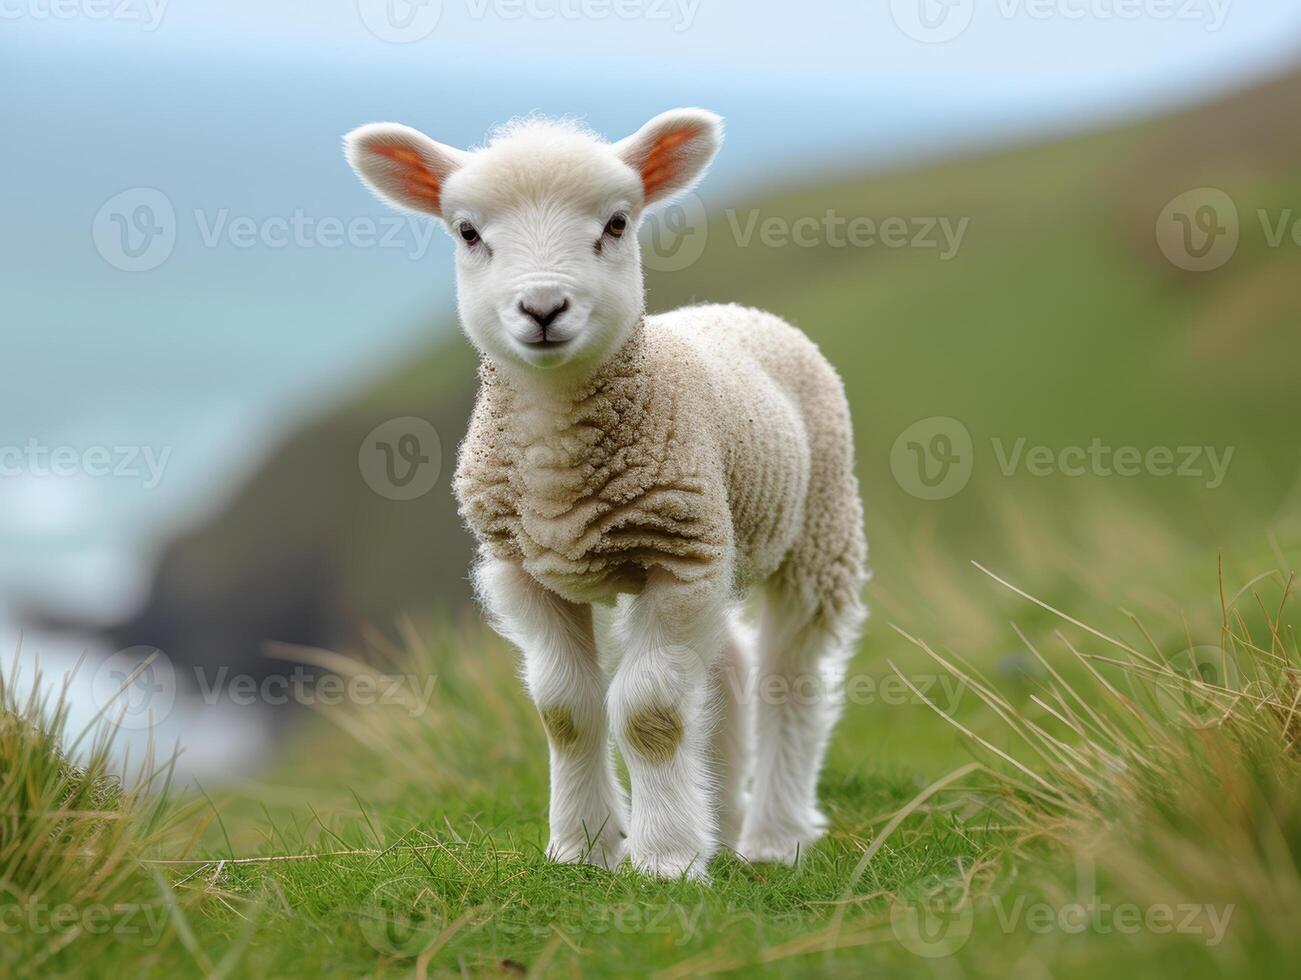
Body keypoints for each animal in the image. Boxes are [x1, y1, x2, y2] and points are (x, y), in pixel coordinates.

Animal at [351, 108, 869, 879]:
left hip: (817, 530)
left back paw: (775, 836)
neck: (558, 469)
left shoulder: (679, 559)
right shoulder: (526, 571)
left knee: (792, 677)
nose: (542, 308)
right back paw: (723, 821)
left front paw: (665, 858)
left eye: (617, 224)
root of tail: (732, 308)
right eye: (468, 233)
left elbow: (650, 714)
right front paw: (584, 848)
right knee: (730, 666)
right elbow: (566, 711)